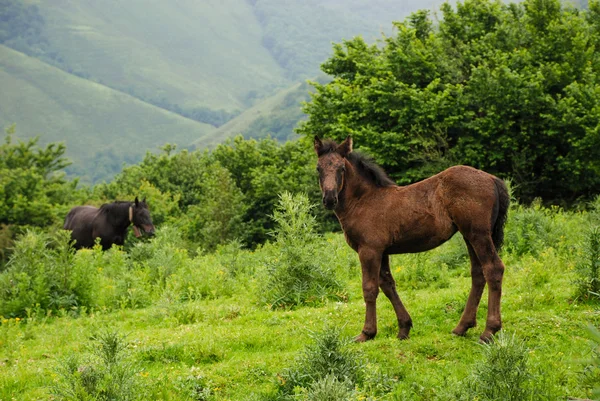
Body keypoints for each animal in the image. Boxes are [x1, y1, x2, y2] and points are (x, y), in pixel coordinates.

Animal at [312, 136, 508, 342]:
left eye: (341, 168)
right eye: (318, 168)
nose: (329, 199)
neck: (363, 201)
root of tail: (492, 179)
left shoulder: (369, 250)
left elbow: (370, 288)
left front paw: (367, 333)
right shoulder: (382, 251)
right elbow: (388, 285)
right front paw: (404, 328)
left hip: (479, 234)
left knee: (493, 269)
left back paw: (489, 331)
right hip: (468, 235)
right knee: (478, 273)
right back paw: (462, 327)